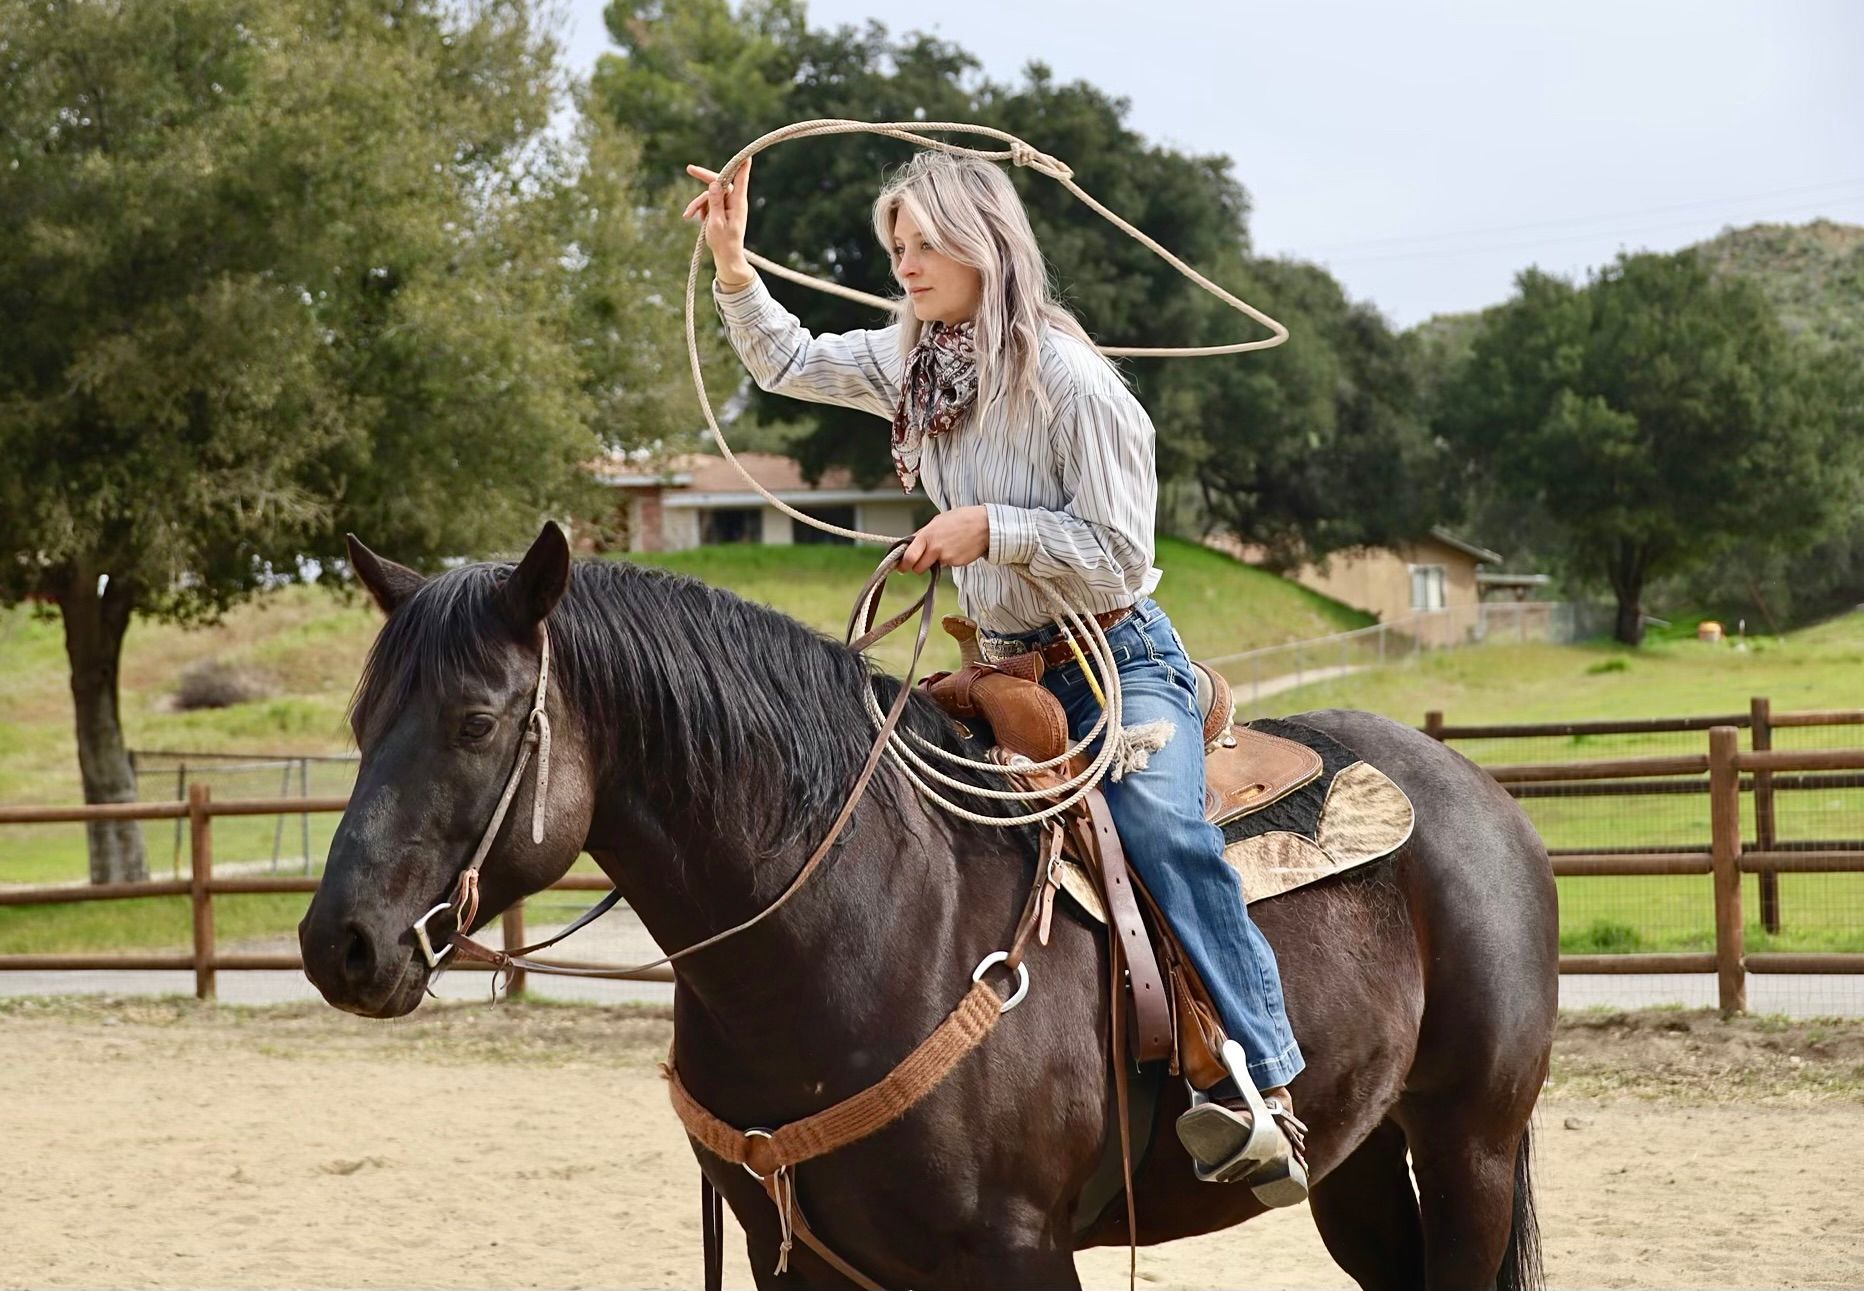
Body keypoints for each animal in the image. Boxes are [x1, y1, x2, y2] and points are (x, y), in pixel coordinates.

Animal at [300, 522, 1558, 1291]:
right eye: (360, 720)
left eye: (475, 719)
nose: (337, 943)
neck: (856, 925)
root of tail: (1479, 798)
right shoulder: (790, 1256)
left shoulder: (1019, 1253)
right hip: (1359, 1153)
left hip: (1469, 1144)